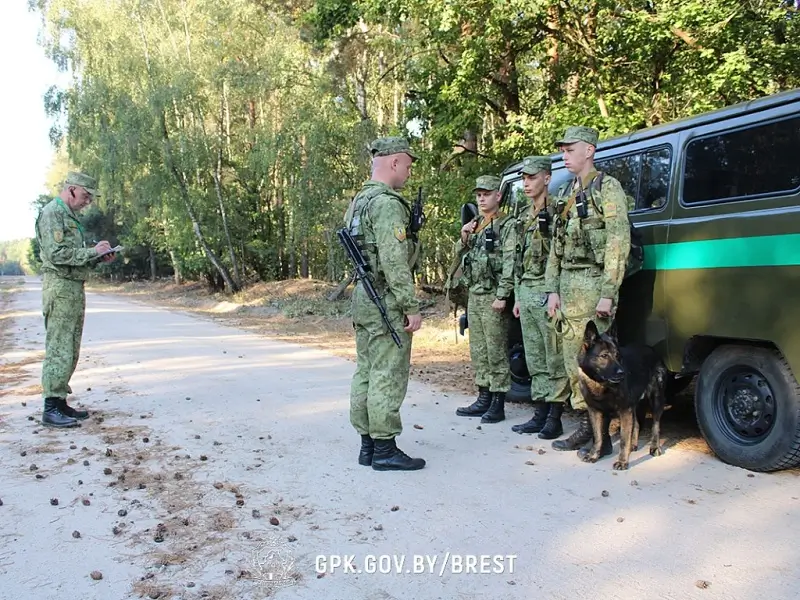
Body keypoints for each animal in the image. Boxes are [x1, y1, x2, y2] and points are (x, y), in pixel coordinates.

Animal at [576, 318, 668, 468]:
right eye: (604, 356)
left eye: (618, 355)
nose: (622, 373)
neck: (601, 384)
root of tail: (651, 349)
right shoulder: (595, 411)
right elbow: (598, 436)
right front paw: (594, 455)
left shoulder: (625, 410)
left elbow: (624, 439)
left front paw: (622, 461)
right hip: (634, 405)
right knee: (636, 424)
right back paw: (633, 445)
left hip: (656, 400)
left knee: (656, 425)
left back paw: (654, 447)